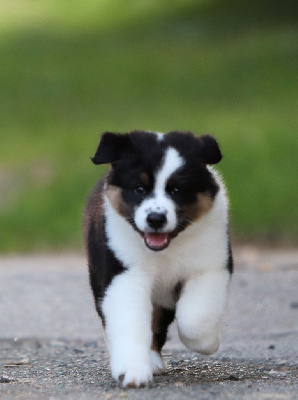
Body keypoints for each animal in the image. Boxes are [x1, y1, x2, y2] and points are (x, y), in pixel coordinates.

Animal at [84, 130, 233, 388]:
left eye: (177, 189)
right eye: (139, 188)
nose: (155, 219)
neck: (165, 250)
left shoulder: (210, 266)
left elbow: (194, 318)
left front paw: (209, 343)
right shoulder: (123, 273)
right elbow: (129, 321)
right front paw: (132, 372)